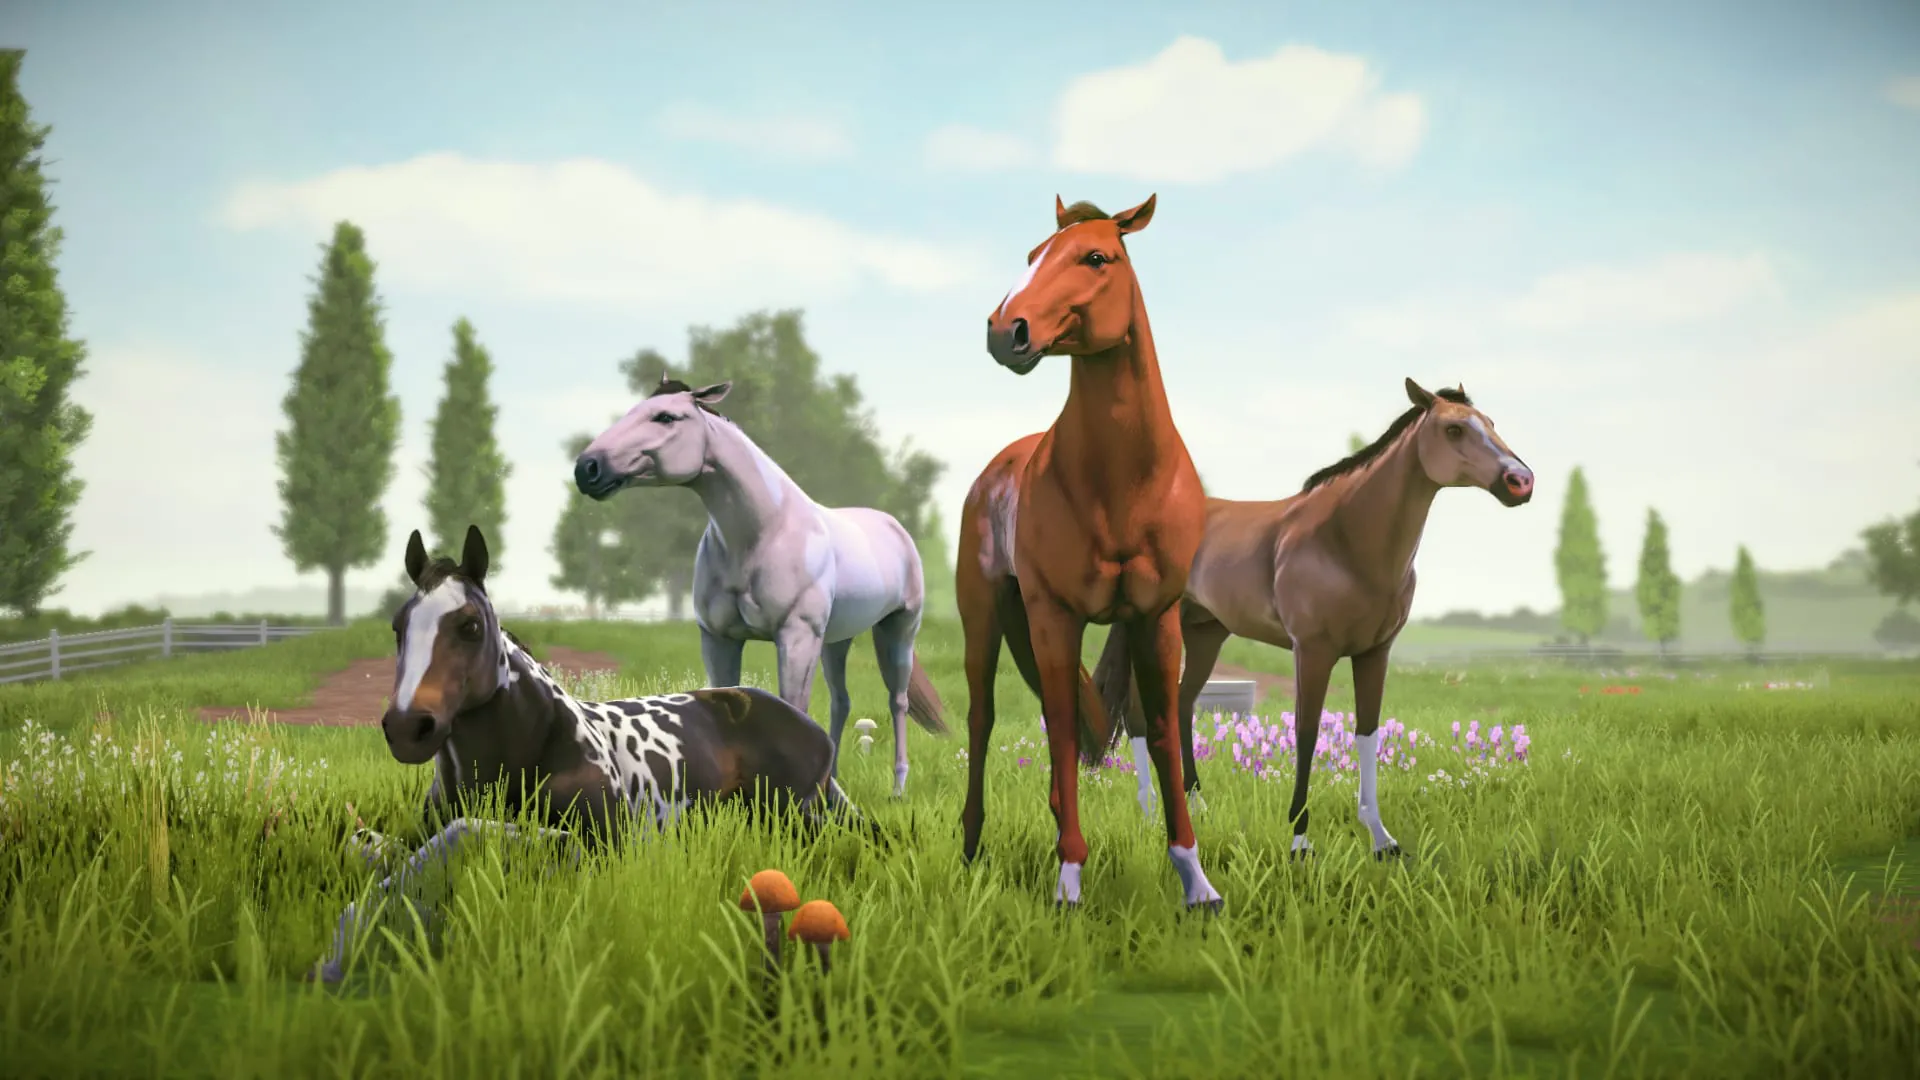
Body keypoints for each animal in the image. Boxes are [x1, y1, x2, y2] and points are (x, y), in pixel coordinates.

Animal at [311, 524, 868, 984]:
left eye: (470, 625)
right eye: (398, 626)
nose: (409, 728)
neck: (533, 747)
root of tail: (809, 726)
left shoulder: (603, 846)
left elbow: (483, 834)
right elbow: (370, 844)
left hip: (796, 815)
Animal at [573, 377, 947, 799]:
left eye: (666, 417)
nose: (587, 468)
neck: (764, 533)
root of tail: (893, 527)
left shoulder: (796, 637)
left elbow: (796, 708)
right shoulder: (718, 639)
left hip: (898, 630)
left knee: (897, 701)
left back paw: (897, 787)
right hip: (836, 640)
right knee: (841, 701)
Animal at [958, 193, 1223, 912]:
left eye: (1097, 257)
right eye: (1031, 256)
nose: (1005, 331)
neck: (1123, 480)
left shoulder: (1156, 618)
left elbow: (1159, 730)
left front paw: (1195, 877)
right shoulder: (1057, 616)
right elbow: (1063, 727)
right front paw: (1069, 880)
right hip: (985, 618)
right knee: (984, 718)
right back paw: (971, 848)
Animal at [1092, 379, 1535, 859]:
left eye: (1491, 423)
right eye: (1454, 429)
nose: (1521, 481)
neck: (1344, 541)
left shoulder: (1375, 653)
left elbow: (1367, 734)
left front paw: (1382, 840)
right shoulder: (1312, 651)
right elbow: (1306, 734)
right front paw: (1300, 839)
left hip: (1206, 633)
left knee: (1183, 705)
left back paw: (1196, 804)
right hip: (1160, 630)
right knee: (1140, 713)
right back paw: (1152, 814)